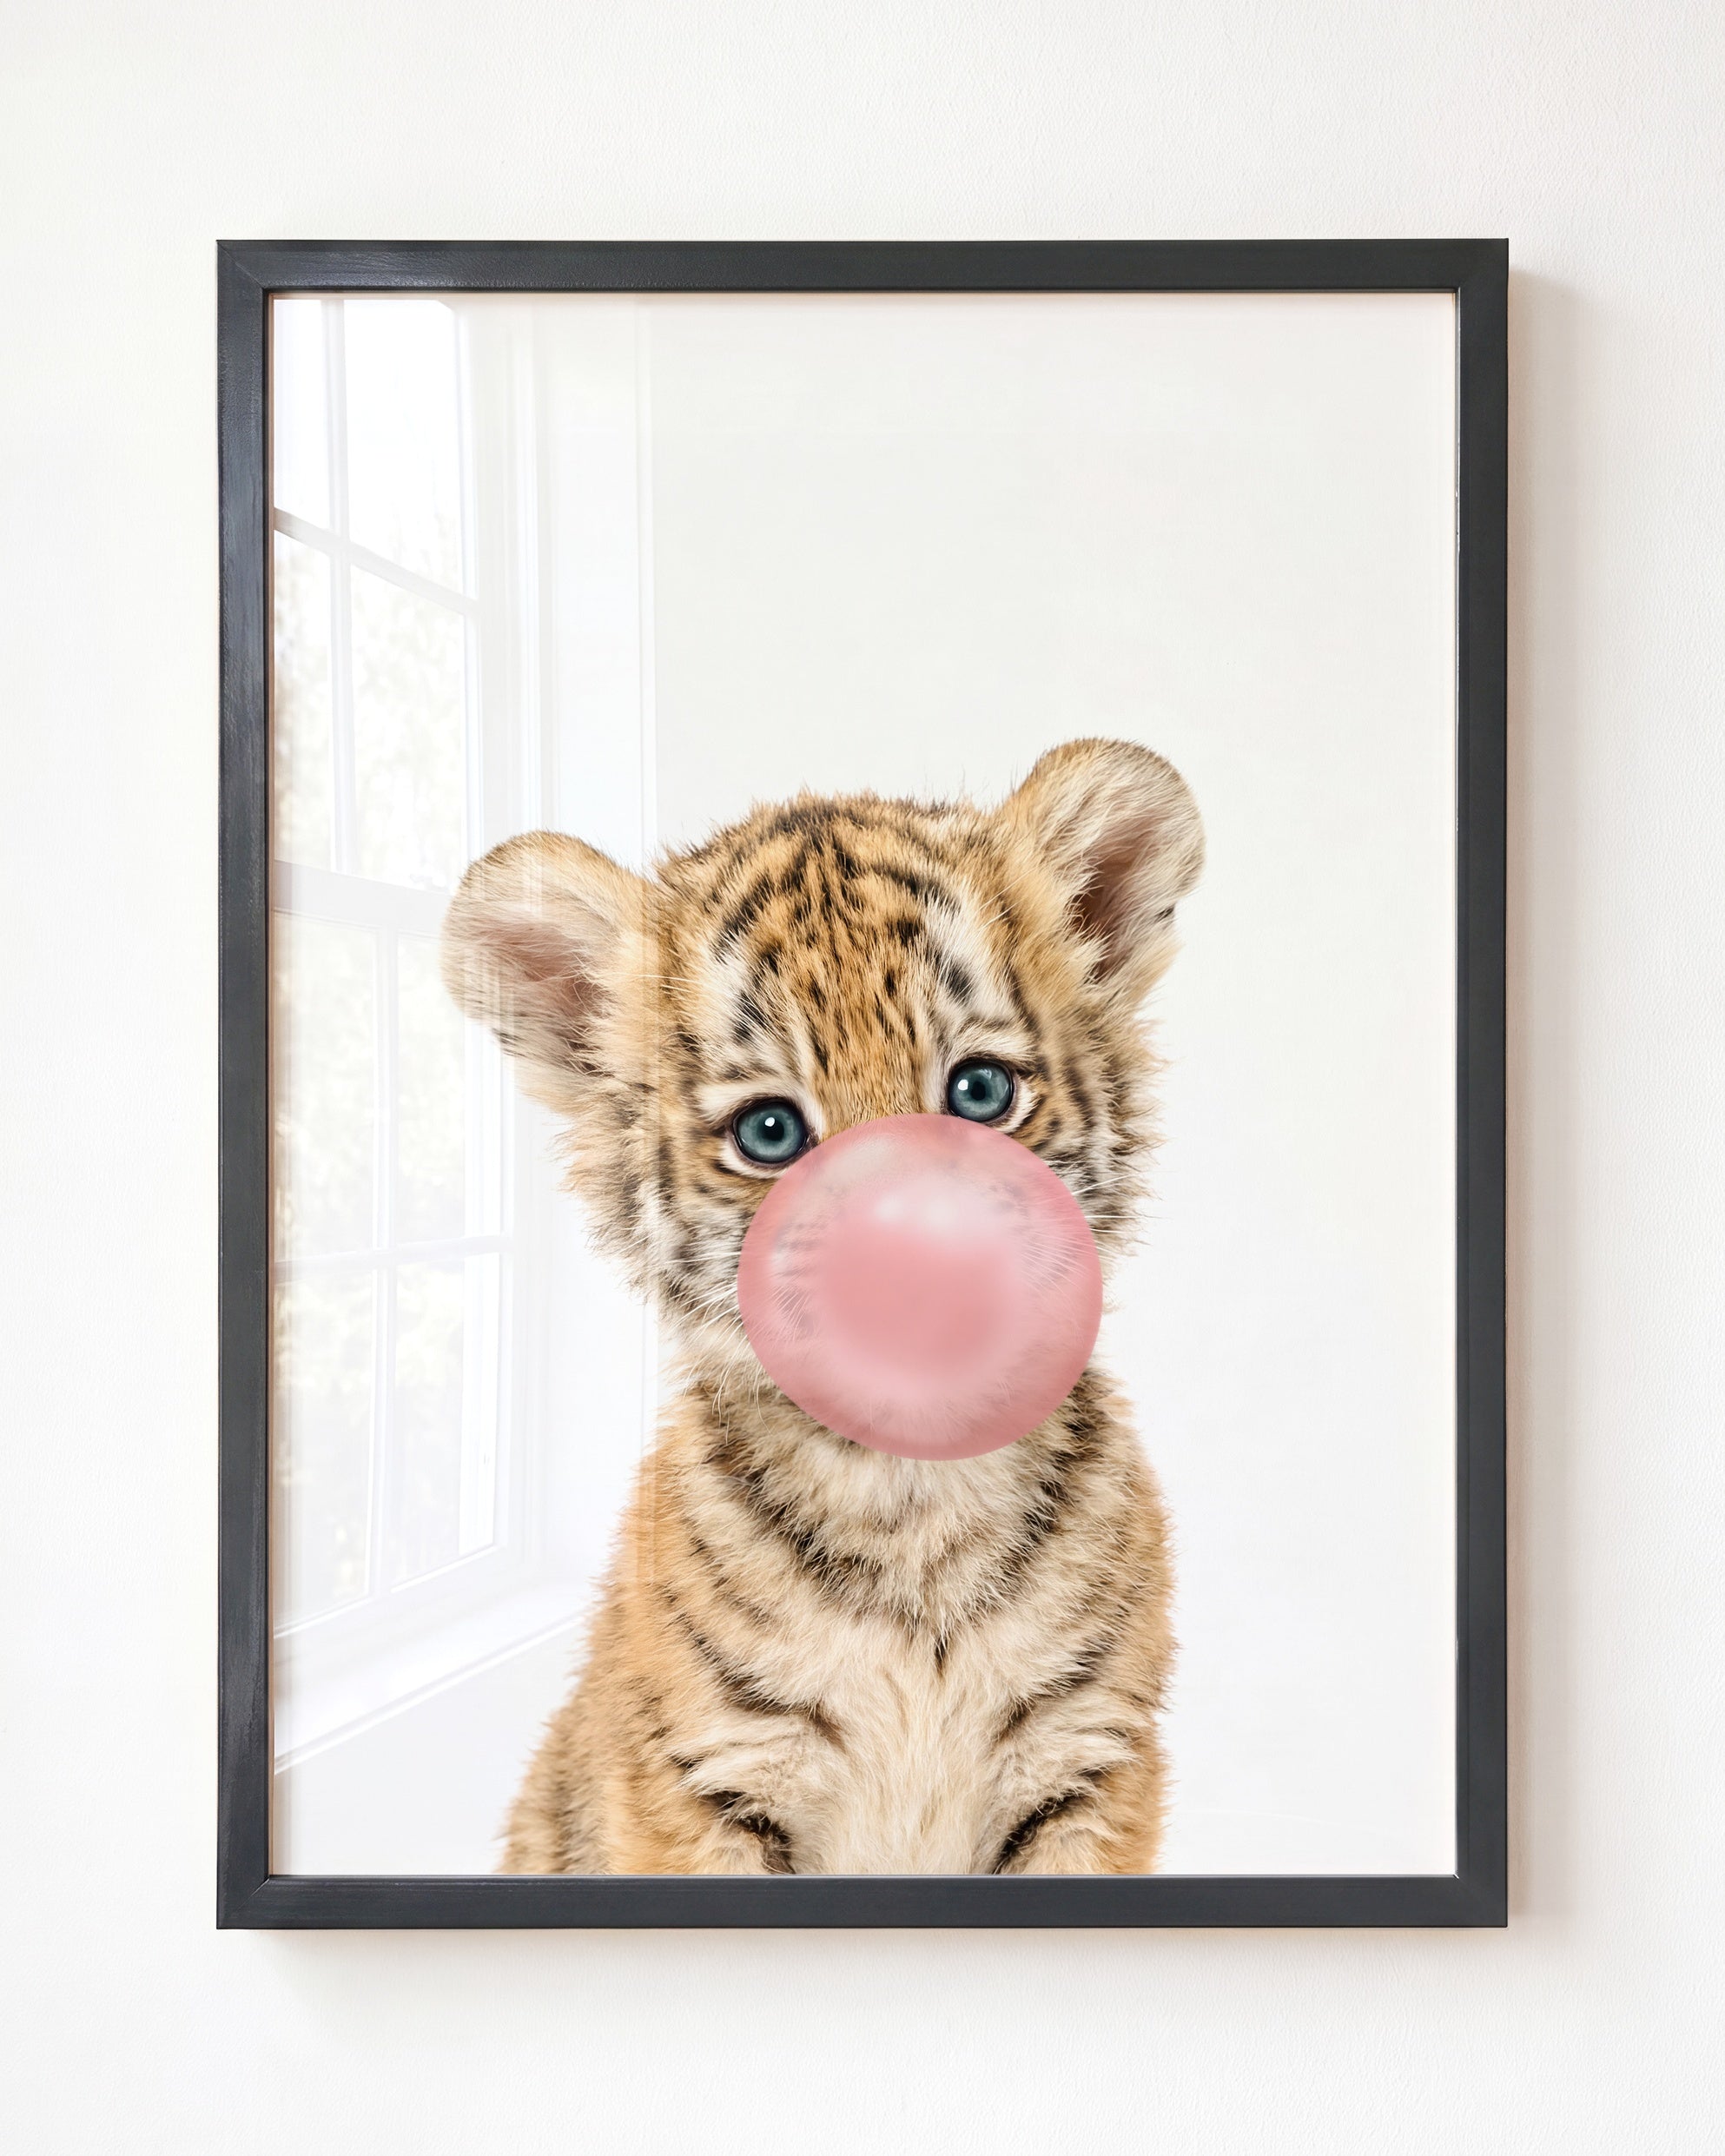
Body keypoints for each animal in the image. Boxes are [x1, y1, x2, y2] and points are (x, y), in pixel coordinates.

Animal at [441, 736, 1204, 1875]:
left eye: (980, 1092)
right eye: (770, 1131)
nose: (915, 1267)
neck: (915, 1502)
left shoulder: (1090, 1759)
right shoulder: (704, 1777)